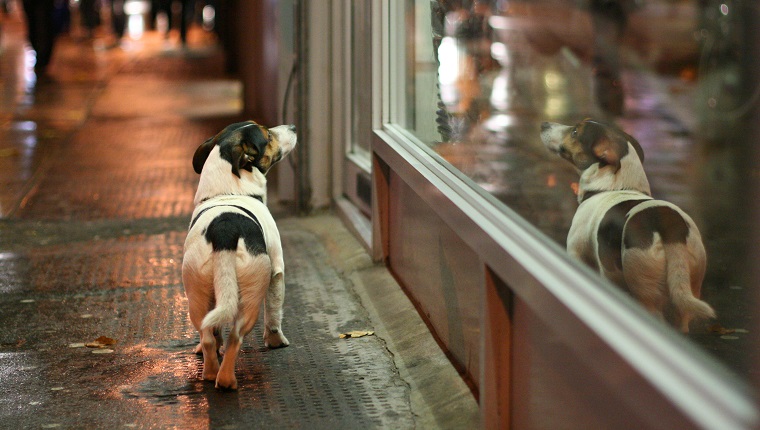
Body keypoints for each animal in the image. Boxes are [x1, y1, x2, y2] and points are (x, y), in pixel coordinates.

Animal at [181, 119, 296, 388]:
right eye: (268, 135)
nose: (294, 127)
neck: (228, 192)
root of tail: (224, 231)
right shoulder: (277, 271)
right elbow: (274, 313)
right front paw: (276, 341)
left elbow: (214, 332)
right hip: (251, 294)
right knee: (236, 337)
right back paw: (225, 380)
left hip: (197, 294)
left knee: (207, 334)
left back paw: (210, 370)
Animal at [540, 118, 712, 332]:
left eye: (574, 132)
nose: (544, 124)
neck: (613, 187)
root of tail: (671, 226)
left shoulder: (576, 253)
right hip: (689, 287)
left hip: (642, 284)